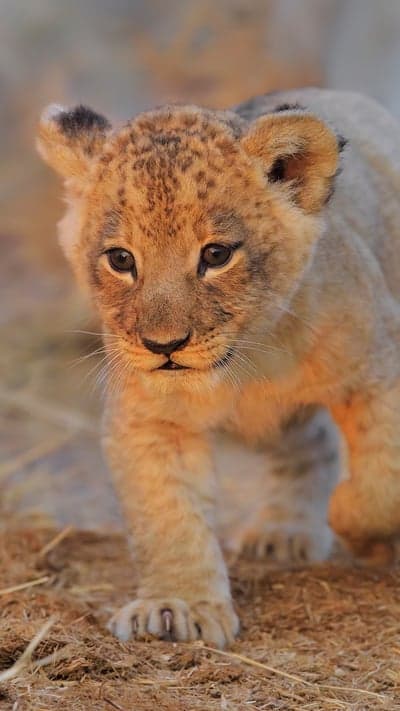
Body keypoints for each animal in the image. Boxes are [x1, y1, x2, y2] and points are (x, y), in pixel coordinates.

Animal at [37, 88, 400, 648]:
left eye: (216, 254)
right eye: (121, 259)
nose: (163, 345)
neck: (247, 365)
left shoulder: (379, 367)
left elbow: (383, 478)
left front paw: (356, 525)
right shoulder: (150, 419)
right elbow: (168, 514)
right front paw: (177, 605)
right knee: (310, 443)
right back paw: (283, 532)